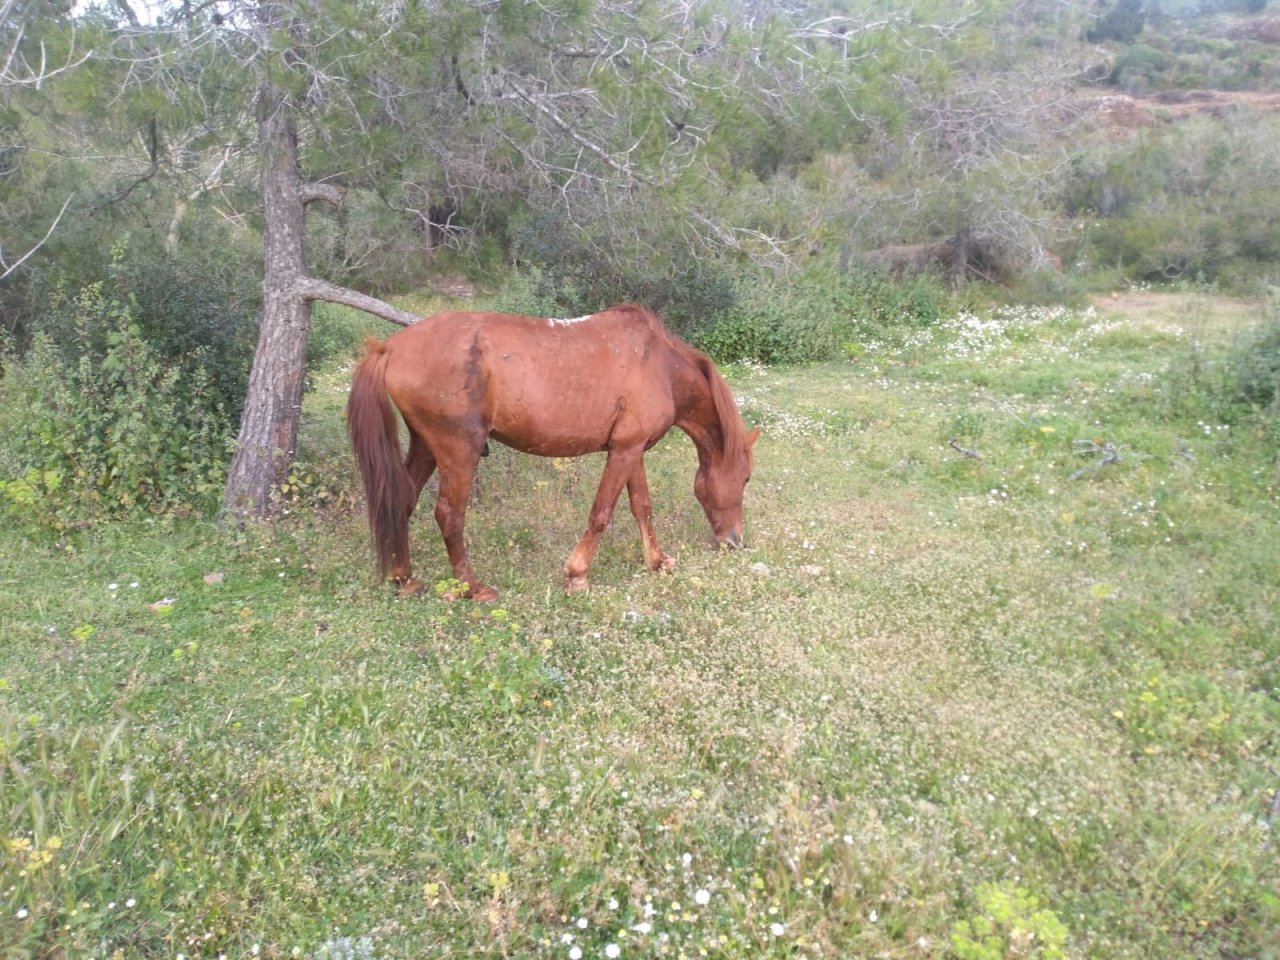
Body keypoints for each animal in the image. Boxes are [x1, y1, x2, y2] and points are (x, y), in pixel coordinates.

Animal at [345, 302, 752, 601]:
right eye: (746, 478)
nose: (735, 540)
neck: (662, 366)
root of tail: (389, 348)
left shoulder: (630, 448)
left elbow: (642, 507)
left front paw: (657, 561)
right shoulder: (624, 451)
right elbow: (601, 513)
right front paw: (577, 574)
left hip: (425, 446)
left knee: (402, 500)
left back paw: (404, 578)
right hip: (459, 450)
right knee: (448, 515)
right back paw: (473, 588)